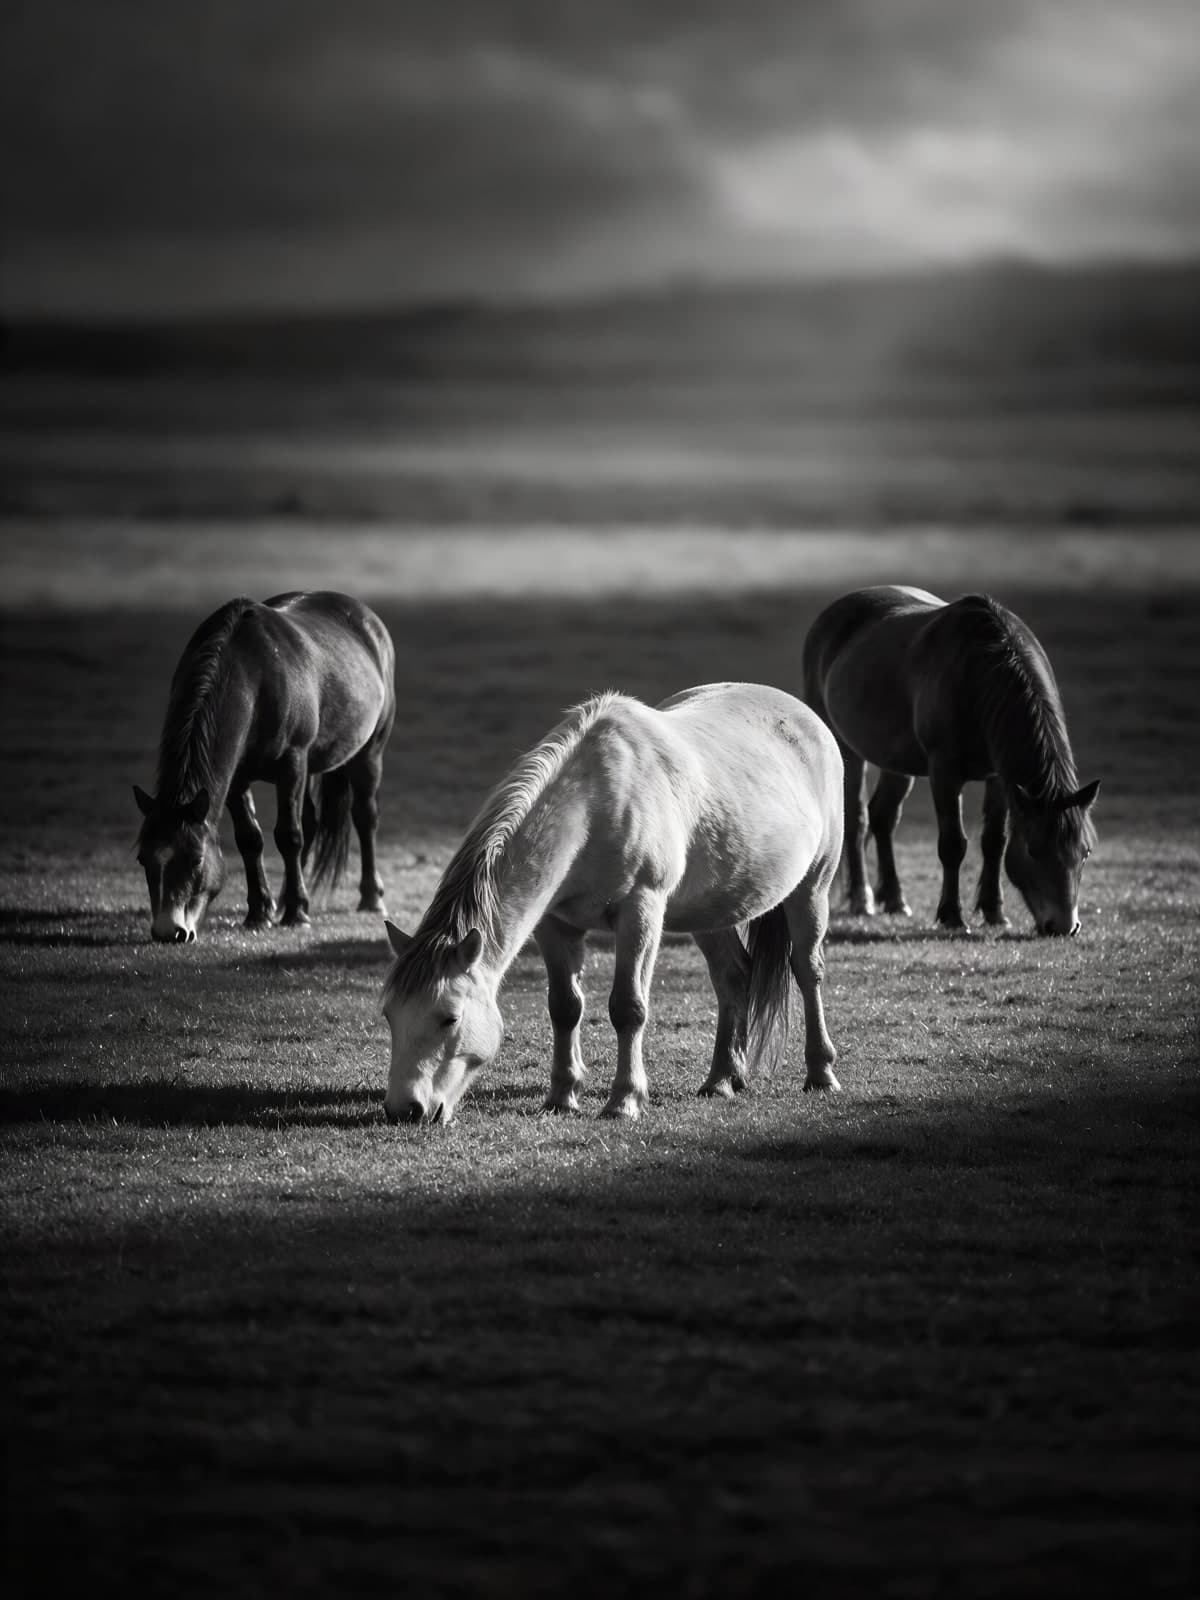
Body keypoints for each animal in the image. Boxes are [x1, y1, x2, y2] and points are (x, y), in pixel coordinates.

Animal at [133, 591, 395, 942]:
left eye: (196, 859)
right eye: (142, 859)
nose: (168, 931)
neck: (253, 678)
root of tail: (365, 617)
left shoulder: (292, 763)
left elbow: (289, 836)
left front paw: (297, 914)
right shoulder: (237, 779)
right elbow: (250, 839)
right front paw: (261, 912)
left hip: (368, 754)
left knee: (364, 819)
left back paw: (370, 898)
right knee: (311, 820)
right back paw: (286, 897)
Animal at [381, 682, 844, 1125]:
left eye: (450, 1018)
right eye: (388, 1015)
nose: (405, 1110)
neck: (596, 802)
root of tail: (806, 718)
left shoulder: (640, 910)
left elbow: (628, 1008)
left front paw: (624, 1101)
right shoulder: (555, 925)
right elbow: (564, 1007)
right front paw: (561, 1098)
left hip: (812, 889)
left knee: (807, 971)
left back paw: (820, 1073)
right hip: (710, 914)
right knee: (733, 976)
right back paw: (723, 1079)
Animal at [802, 586, 1099, 937]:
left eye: (1085, 852)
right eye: (1033, 850)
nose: (1065, 926)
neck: (978, 676)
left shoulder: (998, 777)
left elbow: (994, 842)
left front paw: (995, 912)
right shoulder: (944, 772)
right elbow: (953, 844)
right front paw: (952, 916)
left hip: (894, 758)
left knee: (883, 817)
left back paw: (895, 899)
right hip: (845, 749)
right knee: (857, 819)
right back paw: (863, 900)